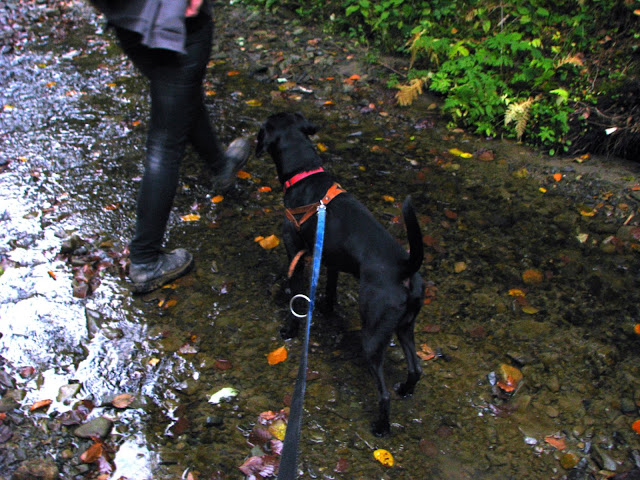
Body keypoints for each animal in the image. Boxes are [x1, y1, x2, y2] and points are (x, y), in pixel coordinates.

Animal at [255, 111, 424, 436]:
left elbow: (295, 292)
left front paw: (290, 330)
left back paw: (381, 426)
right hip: (405, 327)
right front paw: (326, 308)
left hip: (373, 334)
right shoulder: (329, 258)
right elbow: (330, 289)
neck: (306, 173)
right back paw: (406, 390)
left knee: (383, 393)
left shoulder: (294, 249)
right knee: (416, 368)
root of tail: (406, 266)